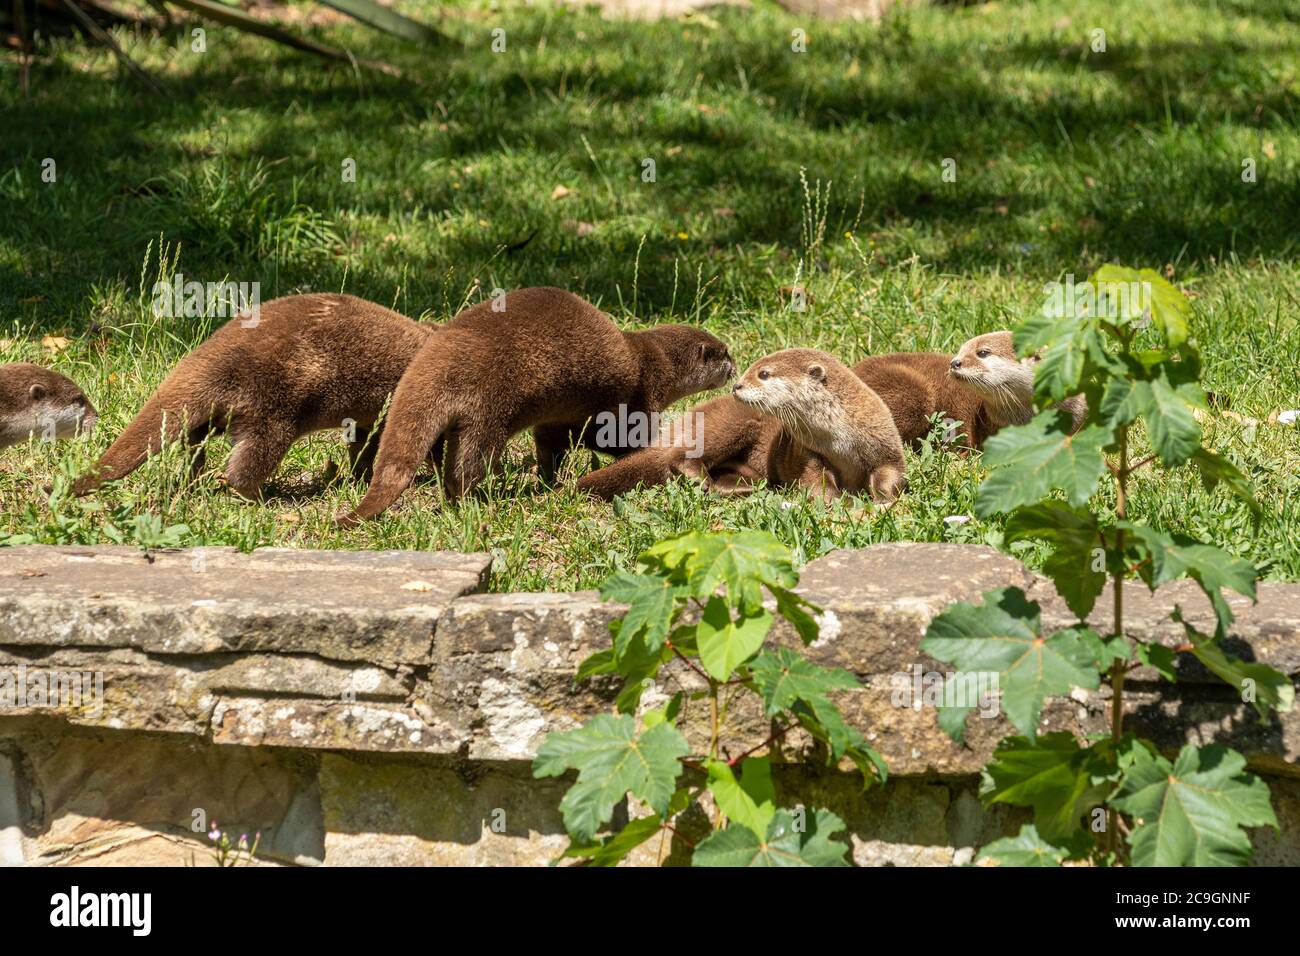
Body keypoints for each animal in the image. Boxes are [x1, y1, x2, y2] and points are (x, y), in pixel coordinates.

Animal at [72, 293, 435, 498]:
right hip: (273, 409)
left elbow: (363, 444)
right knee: (247, 464)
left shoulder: (369, 420)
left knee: (194, 438)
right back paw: (259, 497)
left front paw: (362, 477)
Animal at [338, 287, 735, 524]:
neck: (652, 361)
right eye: (725, 353)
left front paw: (547, 480)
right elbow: (618, 441)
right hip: (489, 408)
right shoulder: (636, 399)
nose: (734, 370)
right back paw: (472, 501)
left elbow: (550, 446)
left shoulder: (558, 416)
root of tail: (439, 354)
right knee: (468, 464)